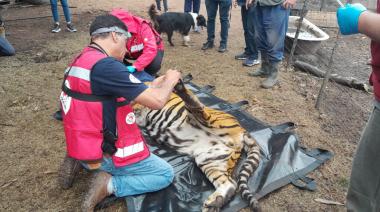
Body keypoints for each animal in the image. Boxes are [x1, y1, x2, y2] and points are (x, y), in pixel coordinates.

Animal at [135, 80, 262, 211]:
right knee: (230, 183)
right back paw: (214, 204)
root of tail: (242, 129)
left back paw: (180, 88)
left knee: (198, 107)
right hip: (210, 159)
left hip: (208, 119)